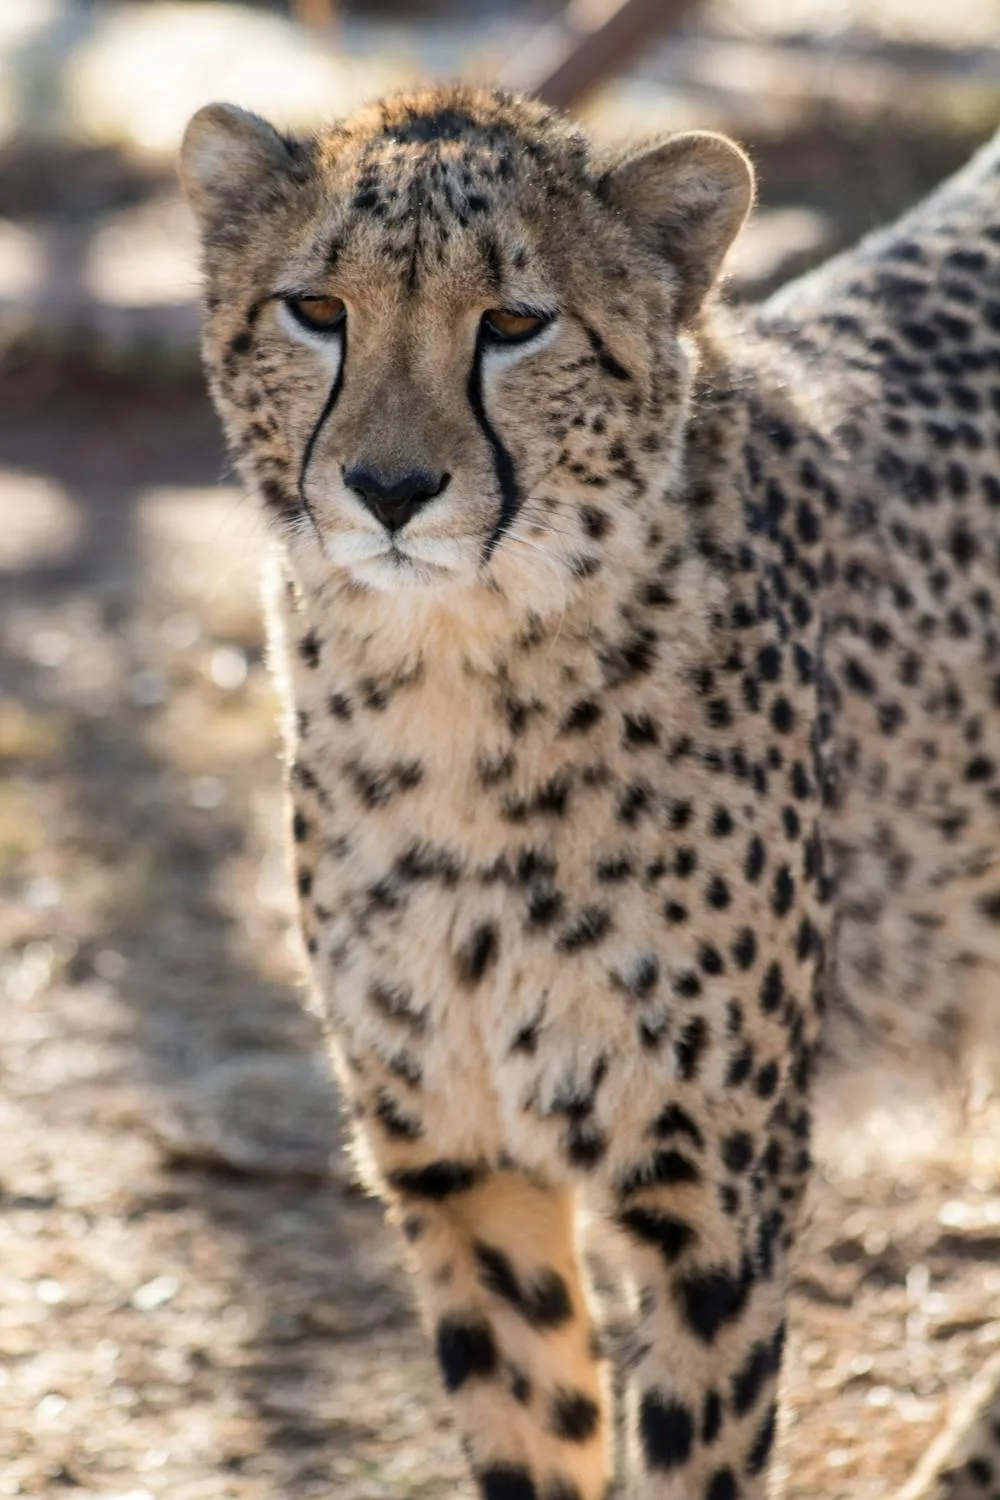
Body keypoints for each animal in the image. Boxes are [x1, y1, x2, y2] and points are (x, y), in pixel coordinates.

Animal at [179, 84, 1000, 1500]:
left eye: (515, 323)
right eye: (317, 309)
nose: (389, 490)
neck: (455, 689)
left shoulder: (712, 1192)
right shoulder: (460, 1163)